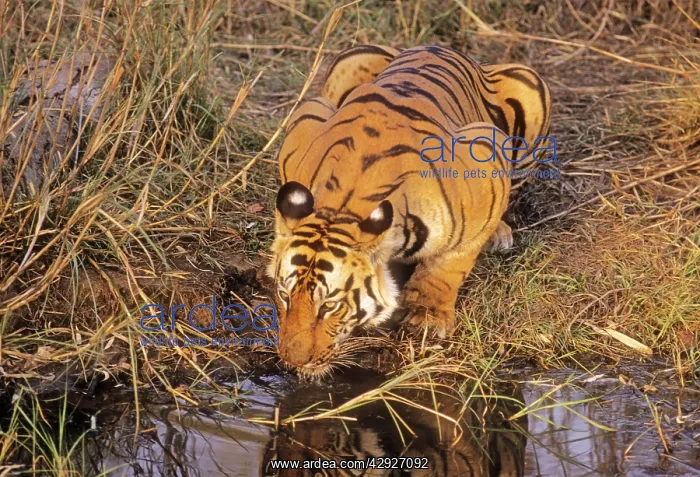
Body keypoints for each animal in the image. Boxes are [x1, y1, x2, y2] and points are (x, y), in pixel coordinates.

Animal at [268, 45, 551, 376]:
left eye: (329, 306)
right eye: (284, 295)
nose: (292, 360)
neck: (341, 207)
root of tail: (439, 46)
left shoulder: (486, 159)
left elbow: (449, 265)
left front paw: (428, 316)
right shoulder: (305, 121)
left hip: (530, 86)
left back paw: (499, 234)